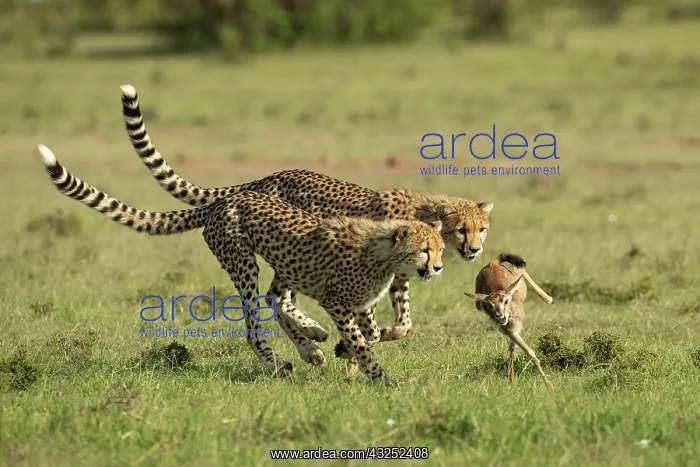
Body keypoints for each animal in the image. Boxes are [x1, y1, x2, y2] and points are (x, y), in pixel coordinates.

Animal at [117, 84, 494, 372]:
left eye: (482, 229)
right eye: (463, 229)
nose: (476, 250)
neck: (422, 210)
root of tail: (264, 180)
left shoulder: (395, 278)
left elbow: (403, 324)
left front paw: (368, 344)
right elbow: (373, 327)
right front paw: (352, 352)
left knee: (276, 299)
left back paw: (309, 344)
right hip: (269, 256)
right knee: (272, 301)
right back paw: (310, 342)